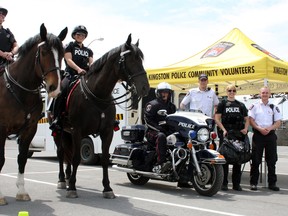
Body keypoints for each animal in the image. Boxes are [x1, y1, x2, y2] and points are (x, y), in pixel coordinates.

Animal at [0, 23, 67, 206]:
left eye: (62, 54)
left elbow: (22, 158)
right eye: (43, 52)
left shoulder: (29, 129)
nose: (55, 88)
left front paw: (22, 192)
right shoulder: (2, 129)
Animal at [54, 34, 150, 199]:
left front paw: (107, 188)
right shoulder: (78, 131)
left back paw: (66, 177)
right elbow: (76, 158)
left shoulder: (107, 132)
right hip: (59, 130)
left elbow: (105, 159)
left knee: (67, 153)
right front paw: (72, 187)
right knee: (61, 153)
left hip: (67, 132)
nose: (145, 87)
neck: (97, 94)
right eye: (131, 60)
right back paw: (62, 180)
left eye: (141, 60)